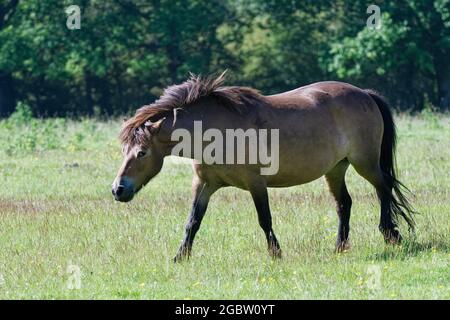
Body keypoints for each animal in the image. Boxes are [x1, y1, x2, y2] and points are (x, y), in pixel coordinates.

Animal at [112, 73, 414, 262]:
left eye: (141, 152)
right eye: (123, 150)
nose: (117, 189)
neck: (215, 131)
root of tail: (365, 94)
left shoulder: (256, 184)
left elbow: (264, 219)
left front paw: (276, 254)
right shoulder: (204, 184)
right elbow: (193, 221)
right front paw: (180, 257)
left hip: (365, 163)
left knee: (384, 189)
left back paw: (391, 235)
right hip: (336, 168)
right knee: (344, 203)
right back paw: (340, 247)